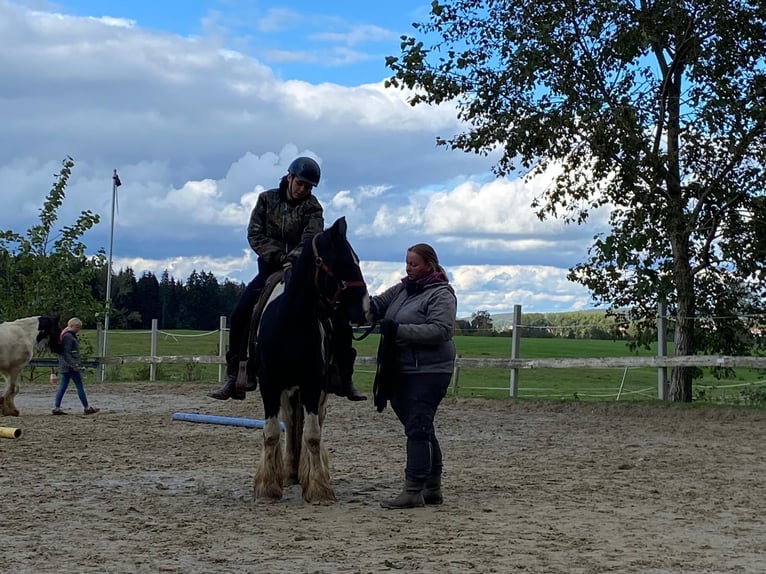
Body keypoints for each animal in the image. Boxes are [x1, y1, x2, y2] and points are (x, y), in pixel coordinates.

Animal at [250, 218, 370, 506]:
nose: (366, 308)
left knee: (314, 425)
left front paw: (318, 488)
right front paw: (267, 486)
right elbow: (271, 432)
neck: (289, 324)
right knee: (289, 421)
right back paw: (288, 471)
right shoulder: (269, 383)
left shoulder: (314, 383)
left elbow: (313, 435)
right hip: (286, 390)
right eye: (342, 261)